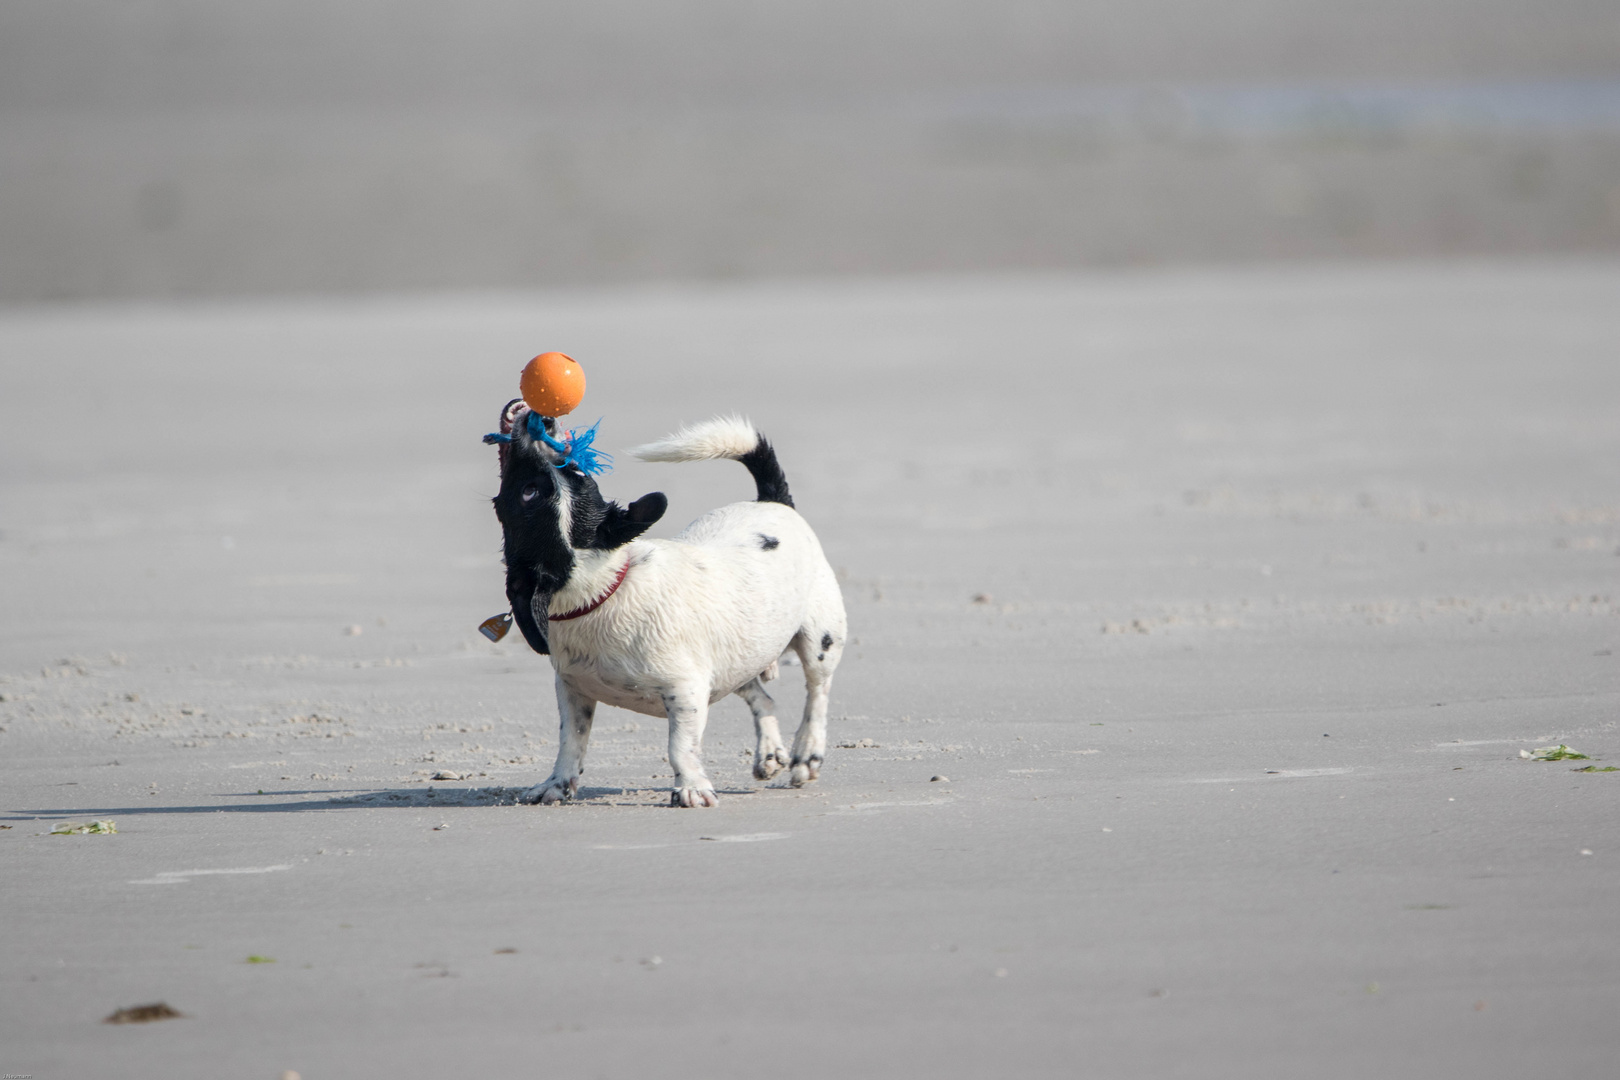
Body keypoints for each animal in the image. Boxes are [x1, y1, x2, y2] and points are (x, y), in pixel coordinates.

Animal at [489, 401, 848, 806]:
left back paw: (807, 753)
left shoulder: (686, 692)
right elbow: (572, 740)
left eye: (578, 472)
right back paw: (770, 752)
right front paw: (556, 784)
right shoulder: (572, 690)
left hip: (819, 641)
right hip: (736, 658)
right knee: (763, 698)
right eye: (530, 491)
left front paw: (691, 787)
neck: (603, 591)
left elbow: (680, 746)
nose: (545, 421)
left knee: (817, 693)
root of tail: (771, 501)